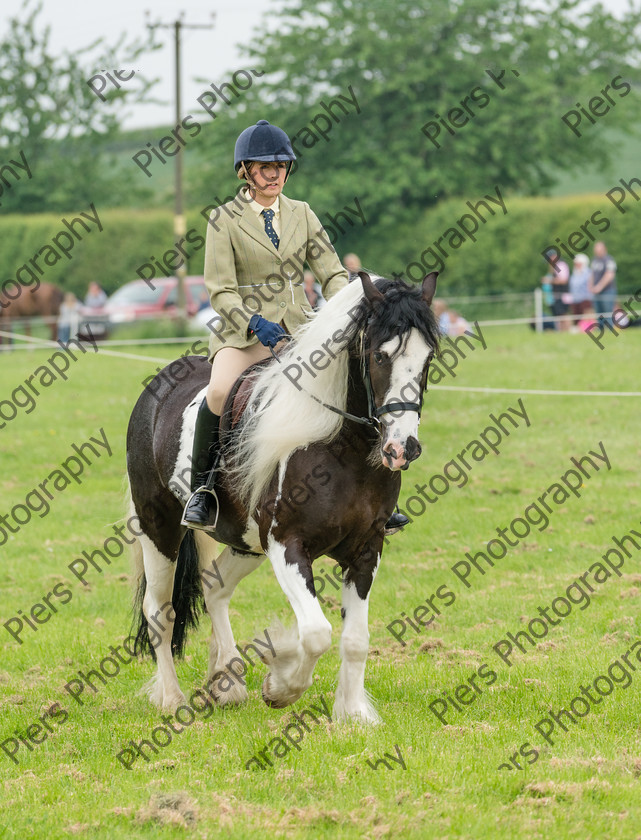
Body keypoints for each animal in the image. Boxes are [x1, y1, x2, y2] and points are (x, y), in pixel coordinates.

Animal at [127, 270, 442, 720]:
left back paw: (226, 682)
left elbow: (355, 640)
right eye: (380, 357)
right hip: (160, 527)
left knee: (215, 588)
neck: (341, 449)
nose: (402, 448)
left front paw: (351, 714)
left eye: (428, 359)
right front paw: (281, 686)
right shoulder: (287, 545)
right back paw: (172, 700)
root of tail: (159, 382)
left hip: (244, 541)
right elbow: (316, 633)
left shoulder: (367, 548)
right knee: (160, 611)